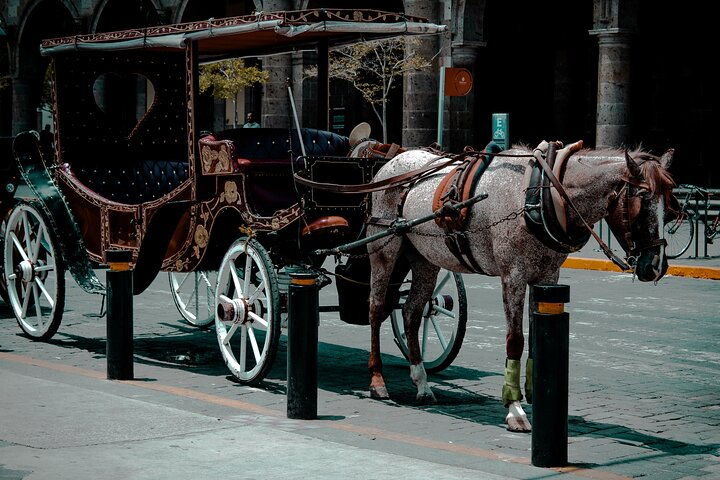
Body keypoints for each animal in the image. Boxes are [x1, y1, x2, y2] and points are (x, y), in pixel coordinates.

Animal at [366, 142, 676, 432]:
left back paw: (422, 384)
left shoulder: (547, 276)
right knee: (377, 309)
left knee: (411, 312)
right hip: (384, 251)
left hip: (424, 258)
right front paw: (514, 409)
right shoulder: (513, 275)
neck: (540, 193)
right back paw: (378, 380)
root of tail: (391, 163)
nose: (656, 266)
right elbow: (515, 340)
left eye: (670, 207)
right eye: (642, 202)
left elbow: (539, 337)